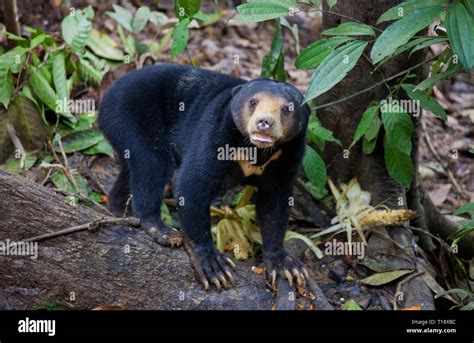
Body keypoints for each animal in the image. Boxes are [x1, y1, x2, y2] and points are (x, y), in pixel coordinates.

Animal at [99, 63, 312, 290]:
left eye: (286, 109)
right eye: (253, 102)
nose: (264, 122)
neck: (257, 150)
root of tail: (109, 92)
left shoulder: (287, 156)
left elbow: (275, 204)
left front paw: (285, 264)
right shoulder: (217, 134)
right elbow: (191, 185)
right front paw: (214, 266)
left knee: (131, 169)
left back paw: (117, 207)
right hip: (130, 116)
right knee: (152, 163)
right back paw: (161, 230)